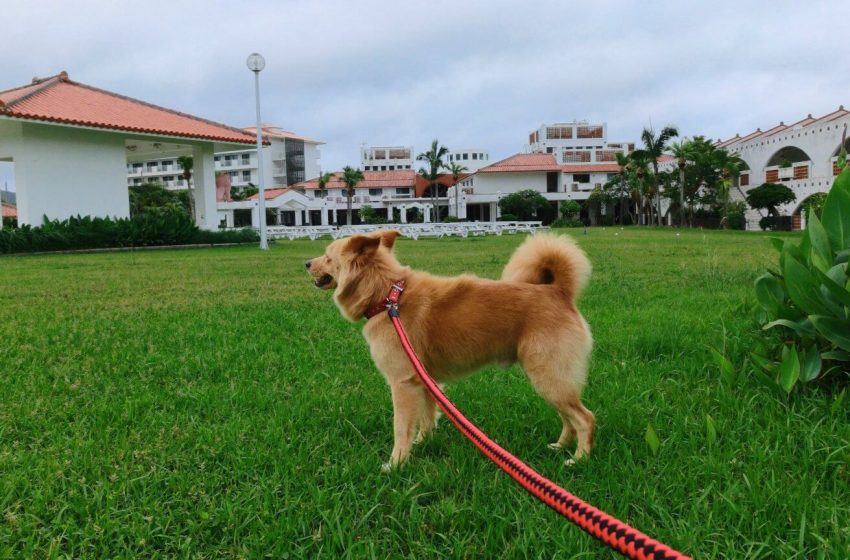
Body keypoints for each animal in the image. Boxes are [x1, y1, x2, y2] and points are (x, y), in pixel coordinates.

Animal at [308, 230, 592, 470]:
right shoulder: (423, 379)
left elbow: (401, 427)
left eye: (327, 256)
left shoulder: (402, 383)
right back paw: (559, 447)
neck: (387, 297)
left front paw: (397, 463)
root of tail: (559, 291)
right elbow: (427, 417)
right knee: (569, 418)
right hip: (552, 380)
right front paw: (423, 443)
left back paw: (579, 460)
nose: (307, 263)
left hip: (548, 377)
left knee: (584, 418)